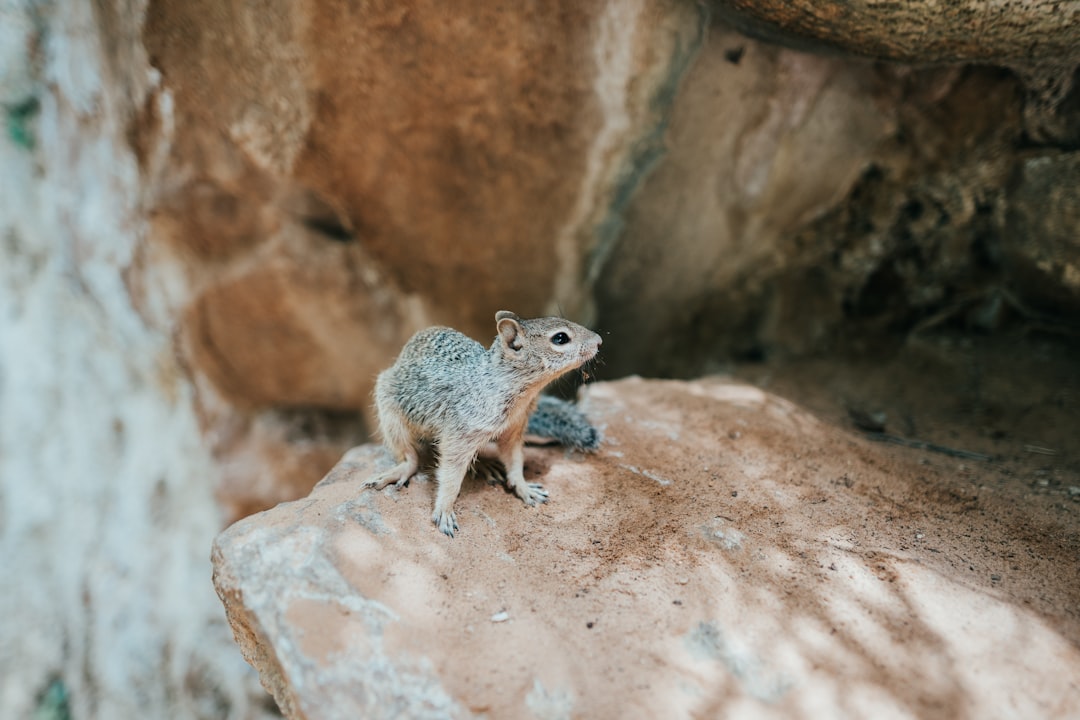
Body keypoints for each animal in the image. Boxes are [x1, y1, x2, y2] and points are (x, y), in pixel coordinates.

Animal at [367, 310, 604, 535]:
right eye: (560, 338)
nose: (599, 340)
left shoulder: (513, 430)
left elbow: (515, 461)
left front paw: (523, 487)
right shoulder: (460, 433)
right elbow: (450, 475)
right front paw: (444, 510)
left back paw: (484, 465)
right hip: (390, 412)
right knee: (409, 456)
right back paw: (400, 470)